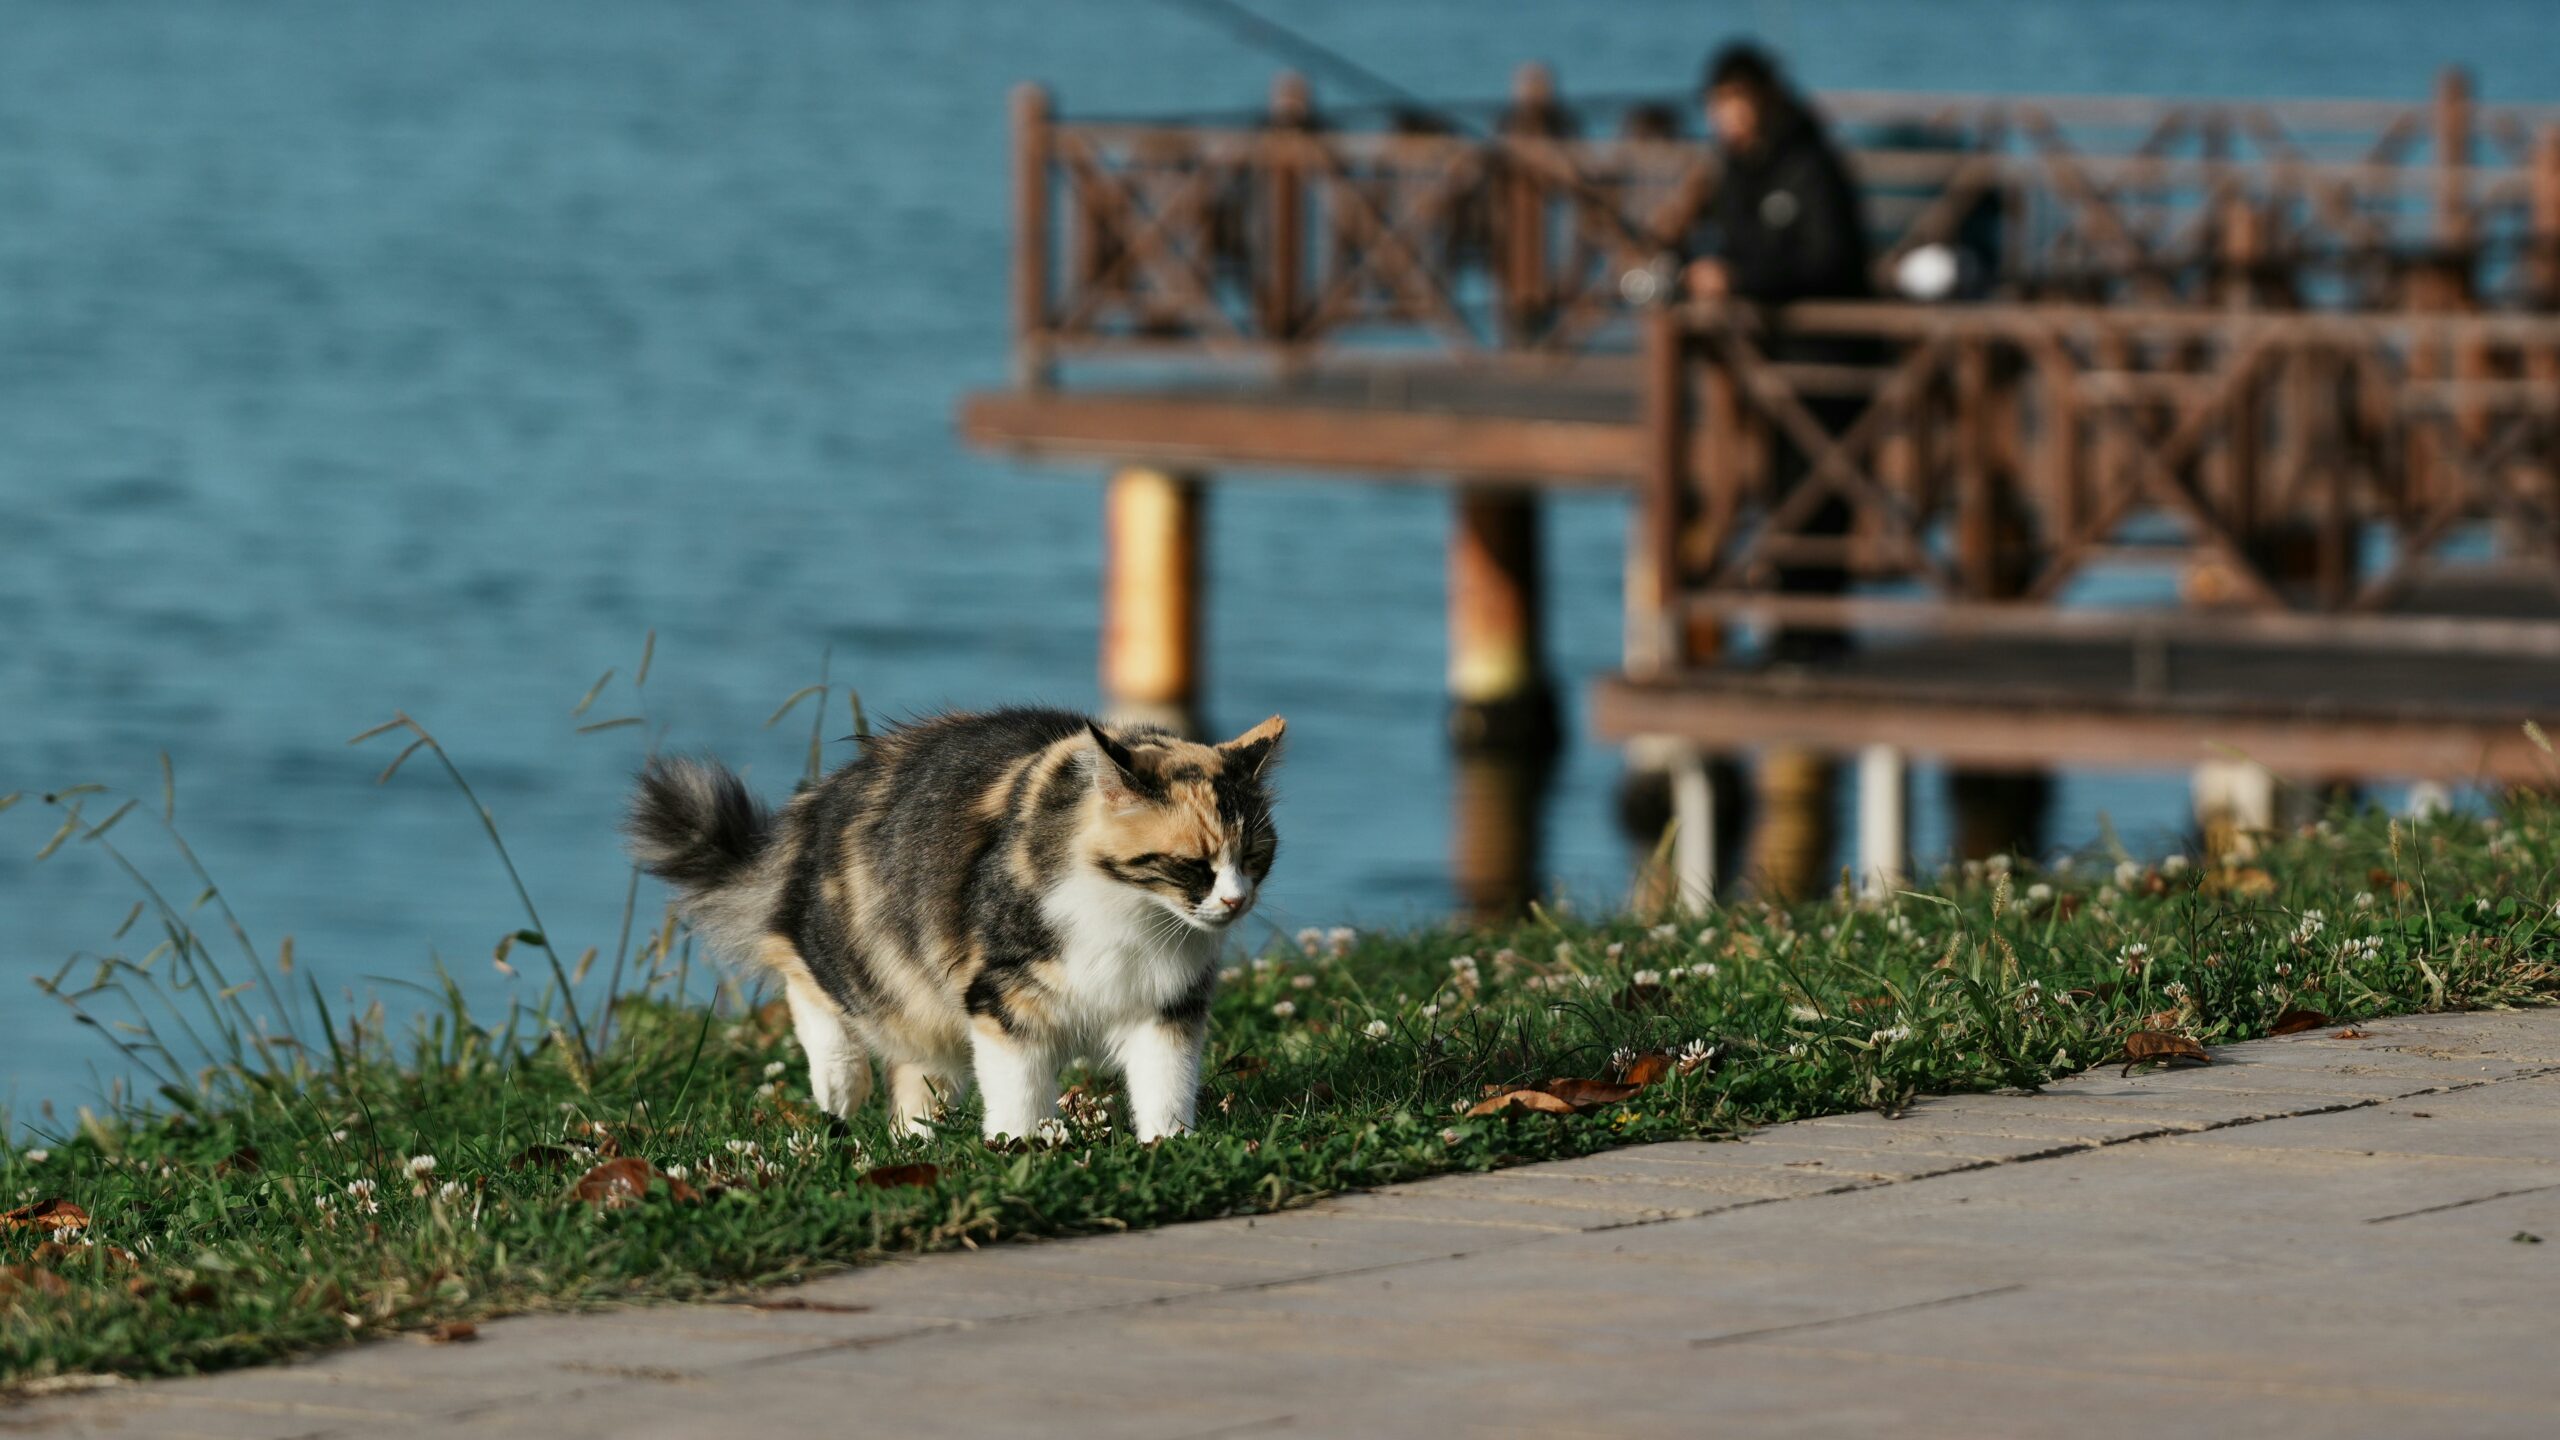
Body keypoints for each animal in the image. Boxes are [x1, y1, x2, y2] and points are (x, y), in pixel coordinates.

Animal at [632, 702, 1290, 1137]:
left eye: (1254, 858)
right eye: (1195, 865)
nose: (1236, 902)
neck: (1134, 916)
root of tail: (817, 802)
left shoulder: (1167, 1005)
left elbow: (1164, 1085)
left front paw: (1168, 1146)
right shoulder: (1004, 996)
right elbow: (1018, 1090)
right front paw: (1021, 1148)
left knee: (915, 1084)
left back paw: (914, 1142)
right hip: (866, 959)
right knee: (804, 980)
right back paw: (840, 1085)